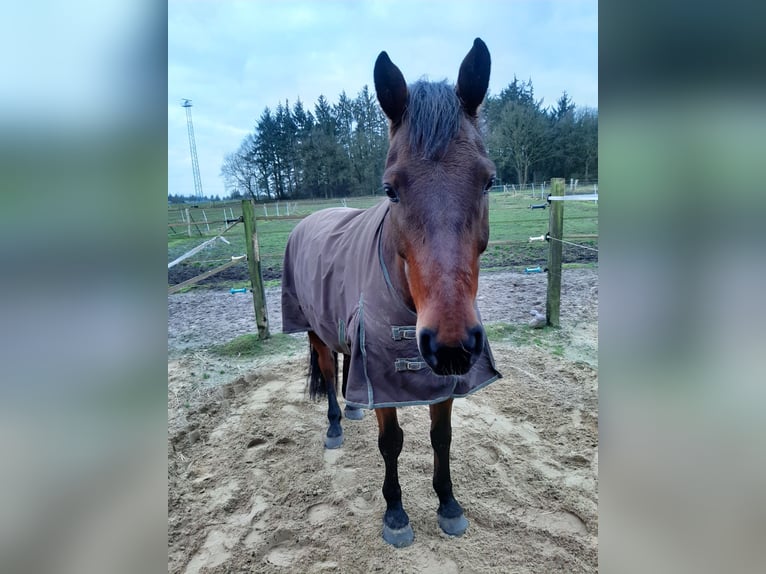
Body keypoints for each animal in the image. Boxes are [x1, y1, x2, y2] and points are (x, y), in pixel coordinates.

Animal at [281, 38, 501, 548]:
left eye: (488, 180)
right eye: (391, 190)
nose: (452, 343)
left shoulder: (443, 377)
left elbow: (442, 437)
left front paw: (449, 505)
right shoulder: (385, 374)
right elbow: (392, 442)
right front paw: (396, 514)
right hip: (315, 330)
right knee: (328, 370)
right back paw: (337, 425)